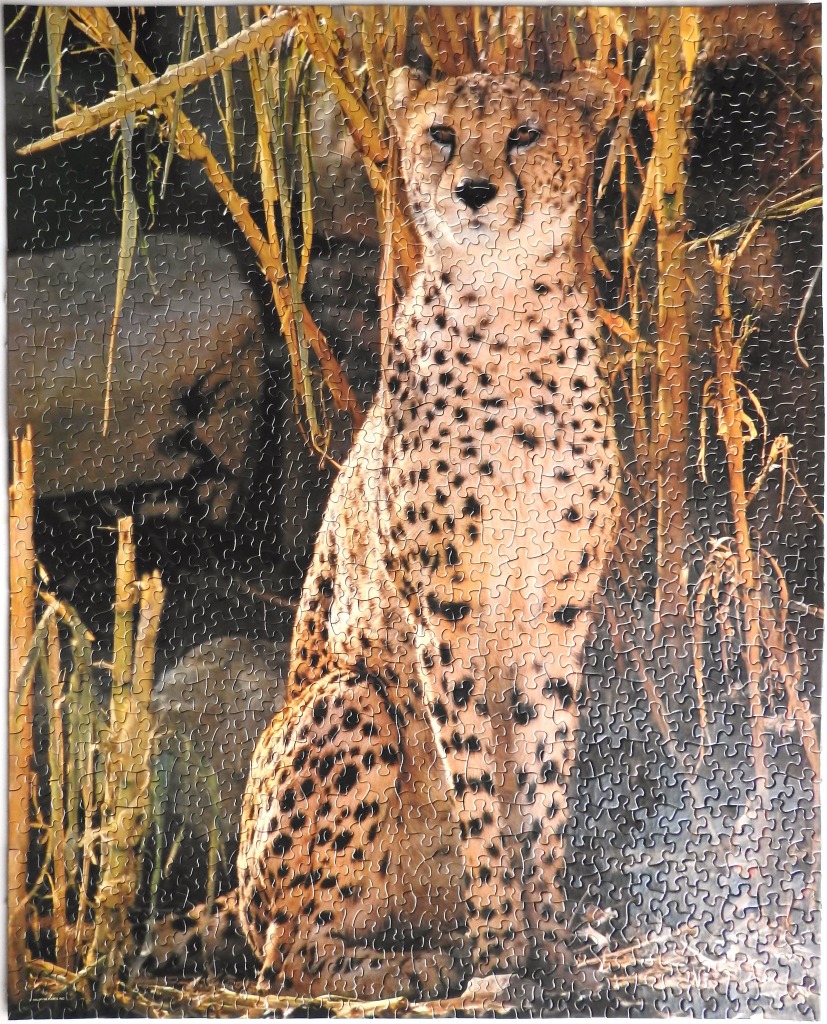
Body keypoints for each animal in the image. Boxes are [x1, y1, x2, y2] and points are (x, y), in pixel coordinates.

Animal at [237, 67, 621, 1002]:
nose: (474, 191)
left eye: (523, 134)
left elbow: (541, 791)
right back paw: (416, 963)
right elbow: (479, 790)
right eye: (442, 134)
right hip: (350, 699)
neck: (510, 314)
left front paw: (552, 946)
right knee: (285, 950)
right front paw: (498, 956)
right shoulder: (444, 618)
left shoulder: (557, 615)